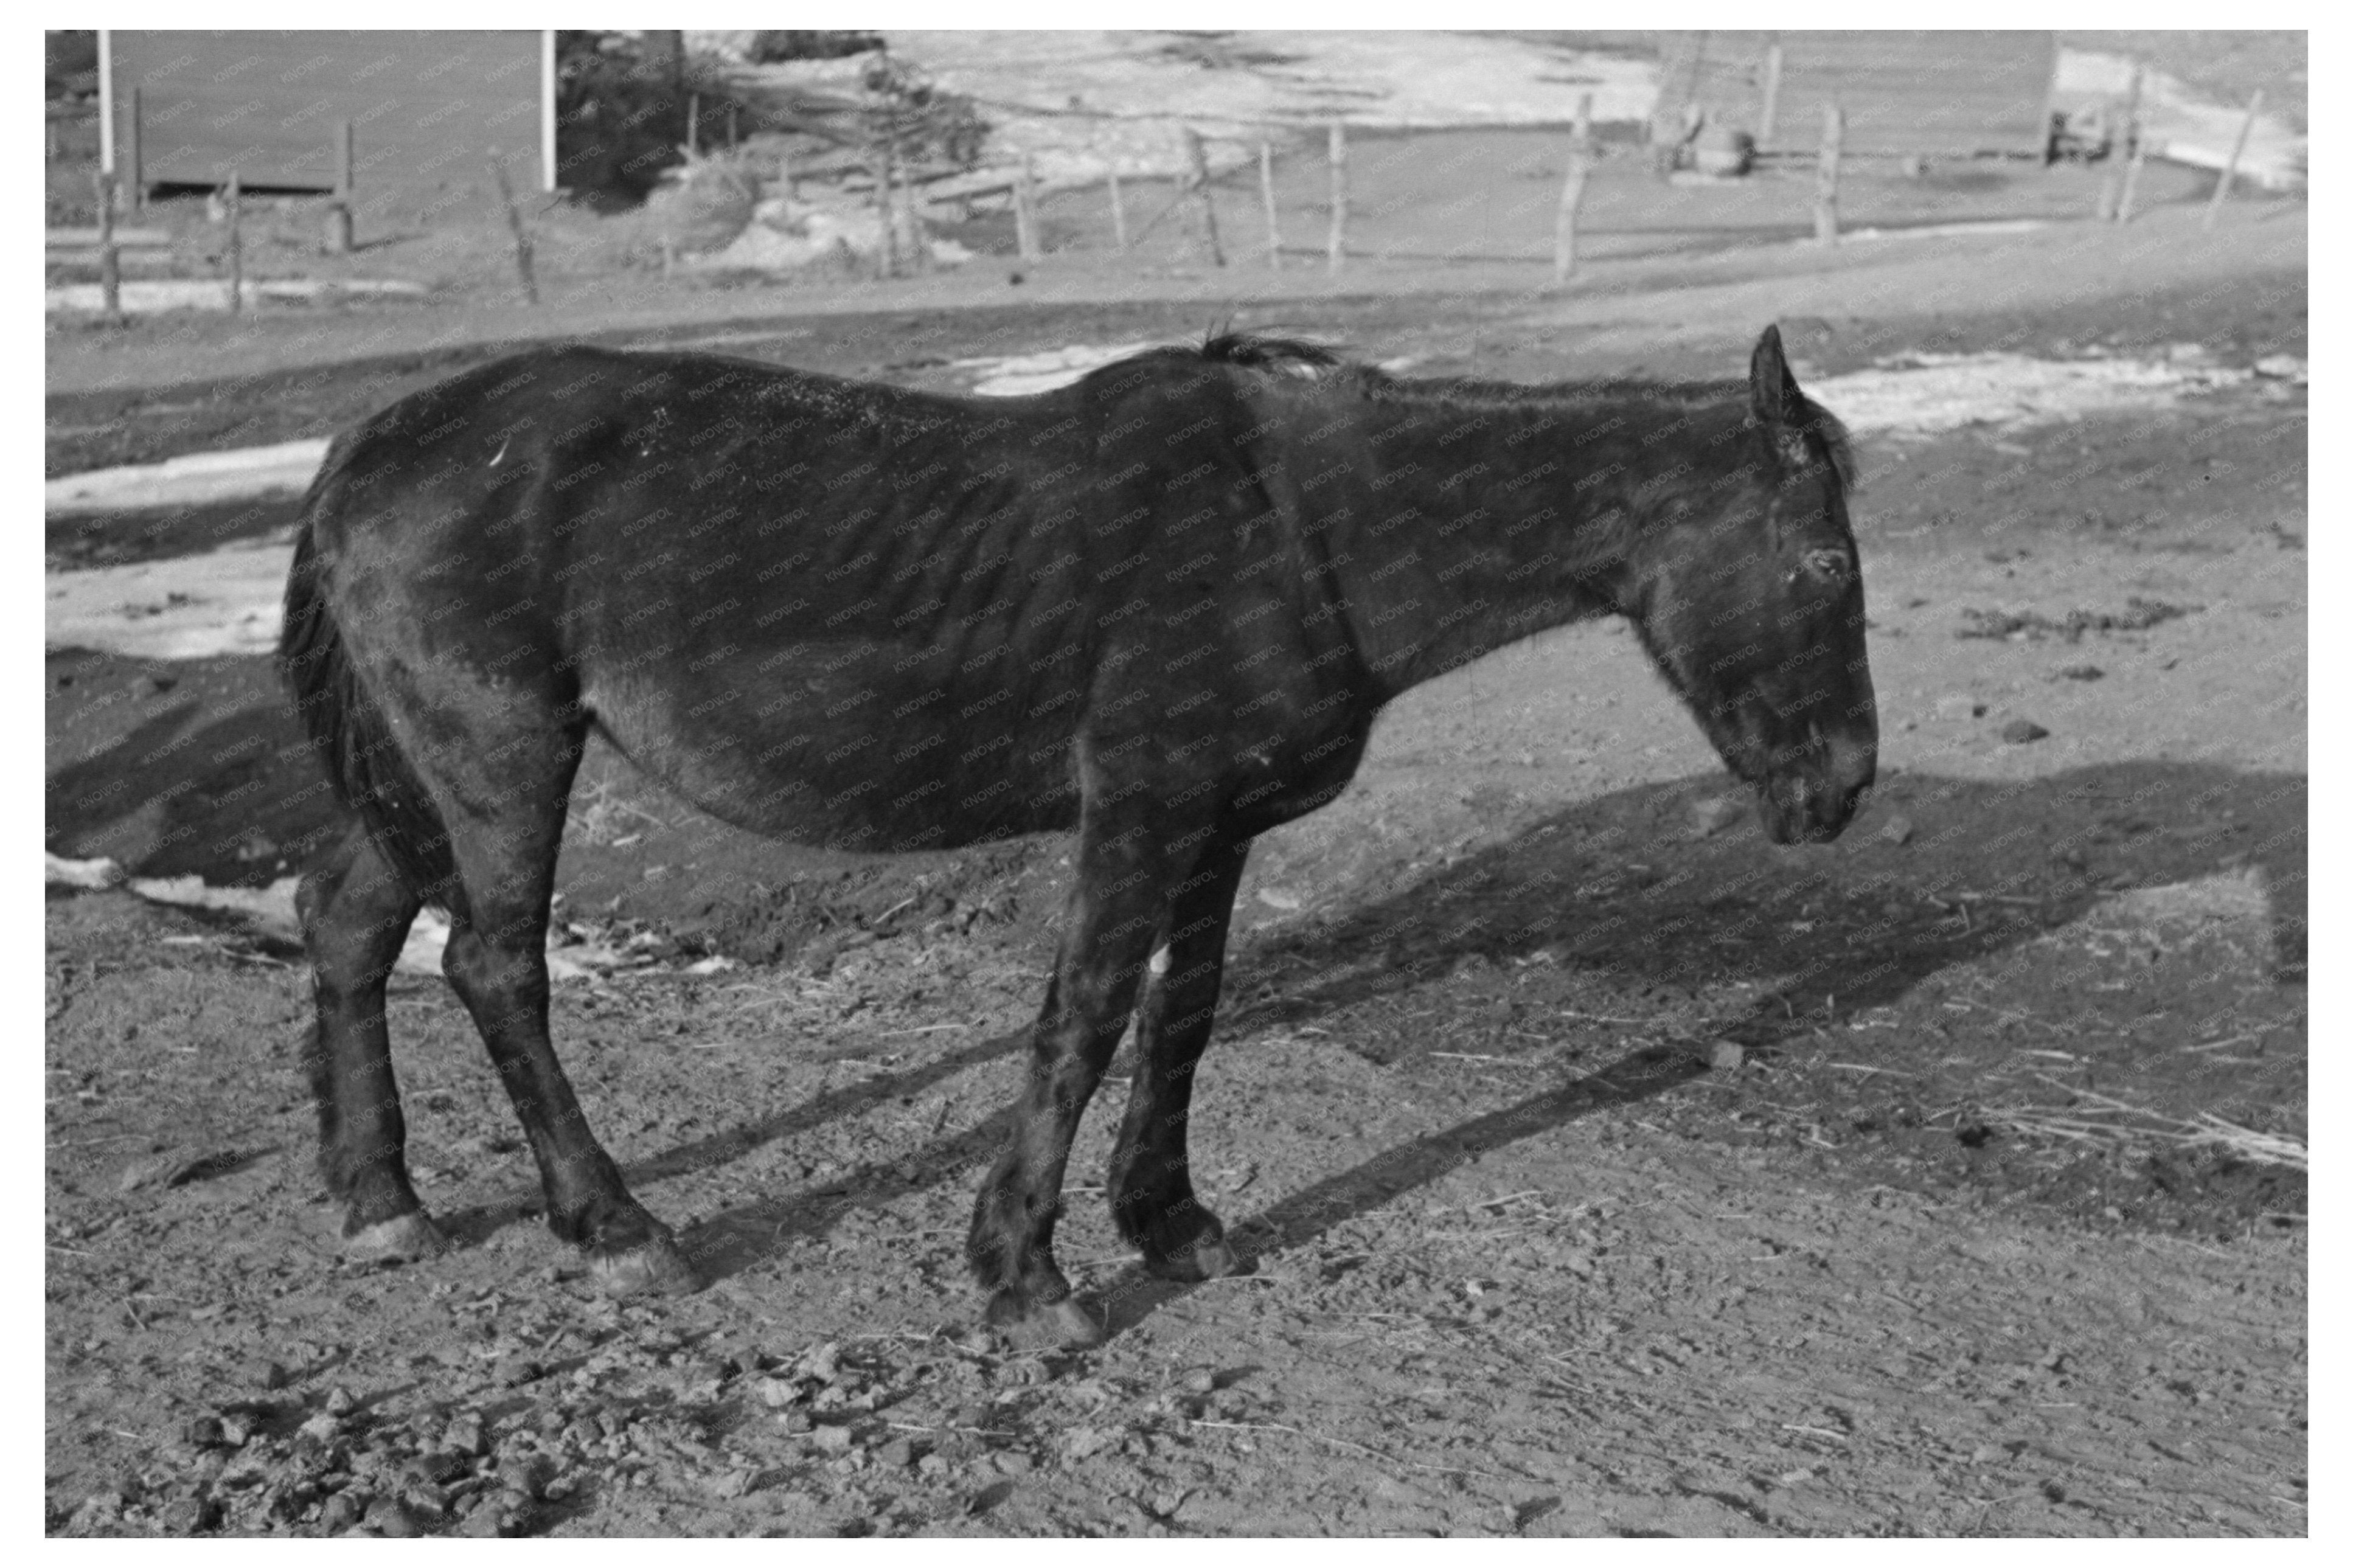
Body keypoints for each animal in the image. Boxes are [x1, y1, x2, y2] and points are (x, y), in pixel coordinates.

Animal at [275, 320, 1872, 1347]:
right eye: (1821, 560)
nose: (1844, 785)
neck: (1295, 522)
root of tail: (371, 448)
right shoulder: (1141, 811)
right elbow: (1088, 1012)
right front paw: (1022, 1272)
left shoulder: (1218, 831)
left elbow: (1184, 1014)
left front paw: (1166, 1217)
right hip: (500, 760)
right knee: (493, 970)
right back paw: (614, 1228)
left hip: (418, 779)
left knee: (347, 923)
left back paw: (381, 1200)